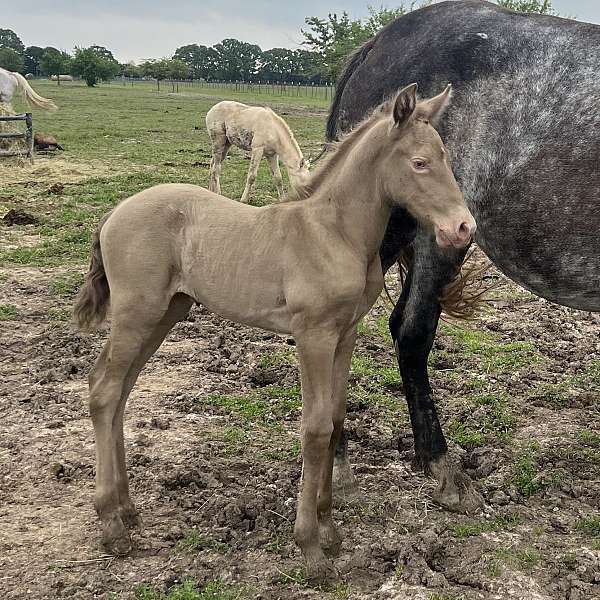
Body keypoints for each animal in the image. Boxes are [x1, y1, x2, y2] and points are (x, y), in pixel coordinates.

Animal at [75, 84, 476, 580]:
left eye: (445, 157)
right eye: (419, 163)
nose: (463, 227)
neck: (333, 233)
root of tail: (113, 213)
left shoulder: (345, 334)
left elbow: (336, 418)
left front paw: (330, 530)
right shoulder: (313, 335)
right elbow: (316, 427)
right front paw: (311, 548)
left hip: (167, 311)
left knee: (120, 390)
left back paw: (128, 510)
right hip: (137, 312)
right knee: (104, 389)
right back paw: (112, 525)